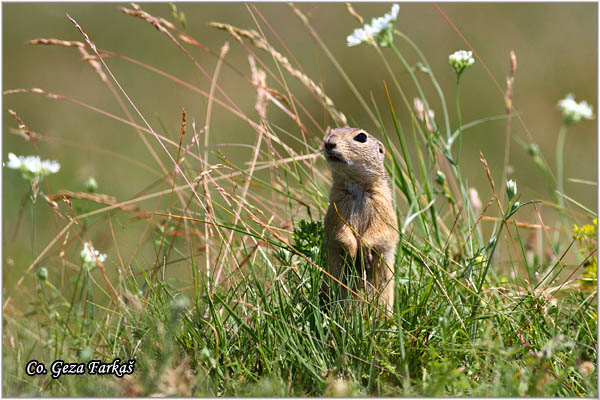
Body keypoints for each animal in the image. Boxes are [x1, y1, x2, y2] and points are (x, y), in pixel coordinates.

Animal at [324, 128, 398, 310]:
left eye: (361, 137)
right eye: (331, 132)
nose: (329, 142)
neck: (356, 185)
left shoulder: (383, 206)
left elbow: (382, 229)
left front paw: (364, 251)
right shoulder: (336, 207)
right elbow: (338, 229)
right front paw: (351, 252)